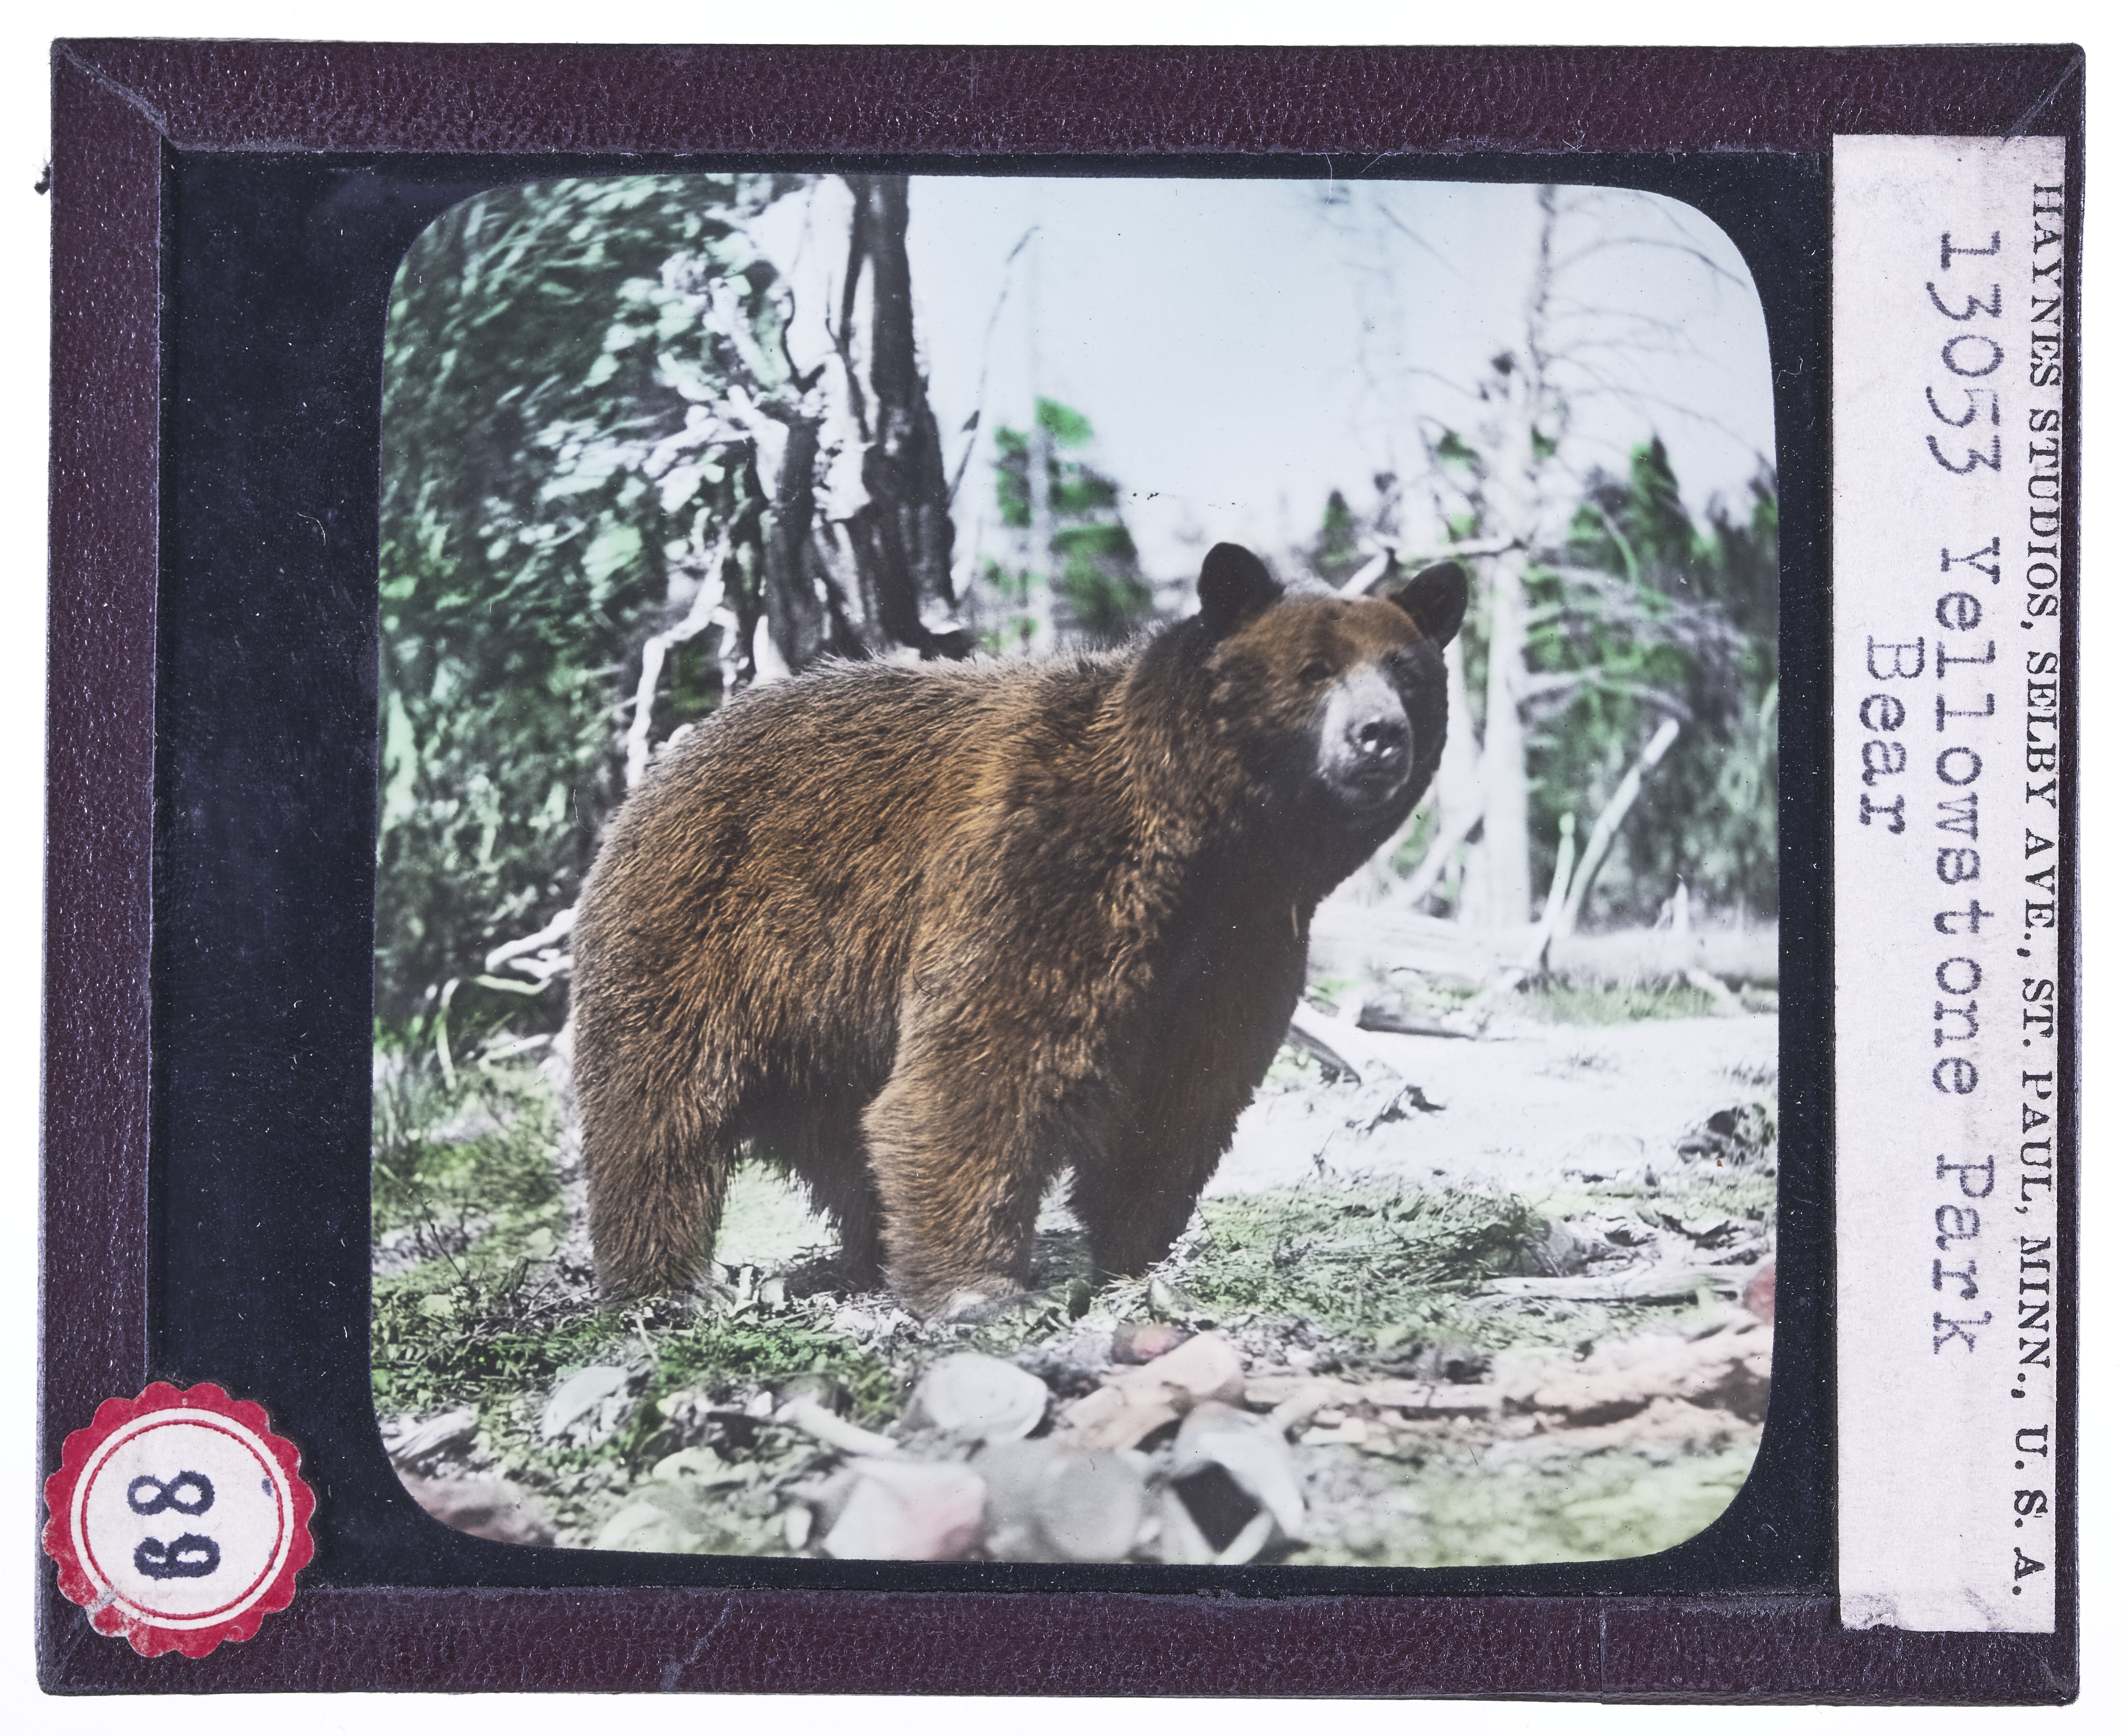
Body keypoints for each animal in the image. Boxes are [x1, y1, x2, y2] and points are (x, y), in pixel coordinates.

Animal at [570, 542, 1466, 1317]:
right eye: (1314, 670)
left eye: (1406, 671)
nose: (1379, 734)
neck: (1210, 844)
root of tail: (668, 759)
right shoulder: (1040, 871)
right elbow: (986, 1067)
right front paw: (981, 1288)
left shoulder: (1239, 942)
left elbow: (1185, 1092)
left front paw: (1134, 1250)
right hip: (706, 931)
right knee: (656, 1112)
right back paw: (661, 1279)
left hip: (826, 1023)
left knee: (838, 1133)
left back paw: (865, 1252)